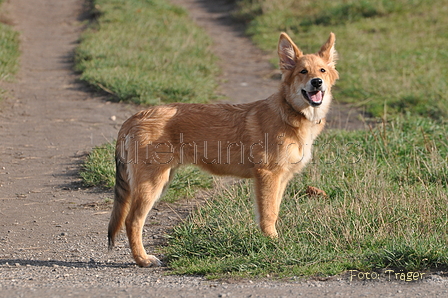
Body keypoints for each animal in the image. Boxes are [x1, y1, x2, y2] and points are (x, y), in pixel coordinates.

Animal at [108, 31, 338, 266]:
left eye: (322, 70)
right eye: (303, 71)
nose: (317, 82)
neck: (290, 113)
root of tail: (136, 117)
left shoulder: (280, 179)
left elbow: (273, 211)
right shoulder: (267, 176)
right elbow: (268, 214)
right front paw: (273, 243)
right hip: (151, 183)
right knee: (132, 221)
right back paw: (142, 259)